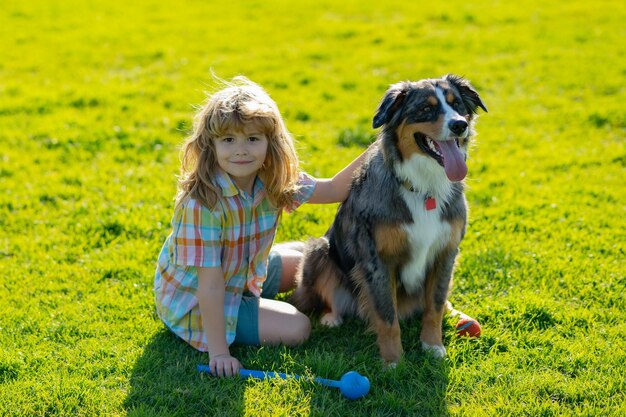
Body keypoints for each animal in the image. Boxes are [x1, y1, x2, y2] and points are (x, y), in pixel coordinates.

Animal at [290, 75, 486, 364]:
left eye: (457, 105)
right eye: (426, 109)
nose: (459, 125)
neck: (424, 187)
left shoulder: (446, 252)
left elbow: (435, 305)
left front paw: (432, 345)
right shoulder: (378, 259)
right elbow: (387, 316)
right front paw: (393, 361)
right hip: (318, 250)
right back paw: (332, 317)